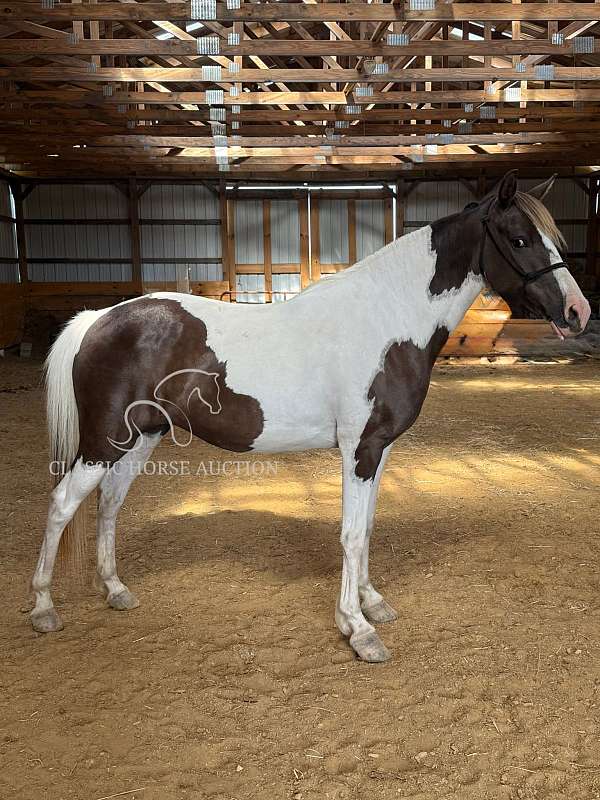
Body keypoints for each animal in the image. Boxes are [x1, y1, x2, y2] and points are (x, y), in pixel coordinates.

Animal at [30, 170, 590, 662]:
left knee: (108, 505)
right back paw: (42, 608)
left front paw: (371, 603)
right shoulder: (358, 450)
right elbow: (350, 533)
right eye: (520, 239)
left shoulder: (379, 449)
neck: (387, 320)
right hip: (105, 441)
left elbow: (367, 527)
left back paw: (115, 590)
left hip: (140, 437)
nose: (579, 312)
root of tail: (98, 319)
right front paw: (358, 631)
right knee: (61, 505)